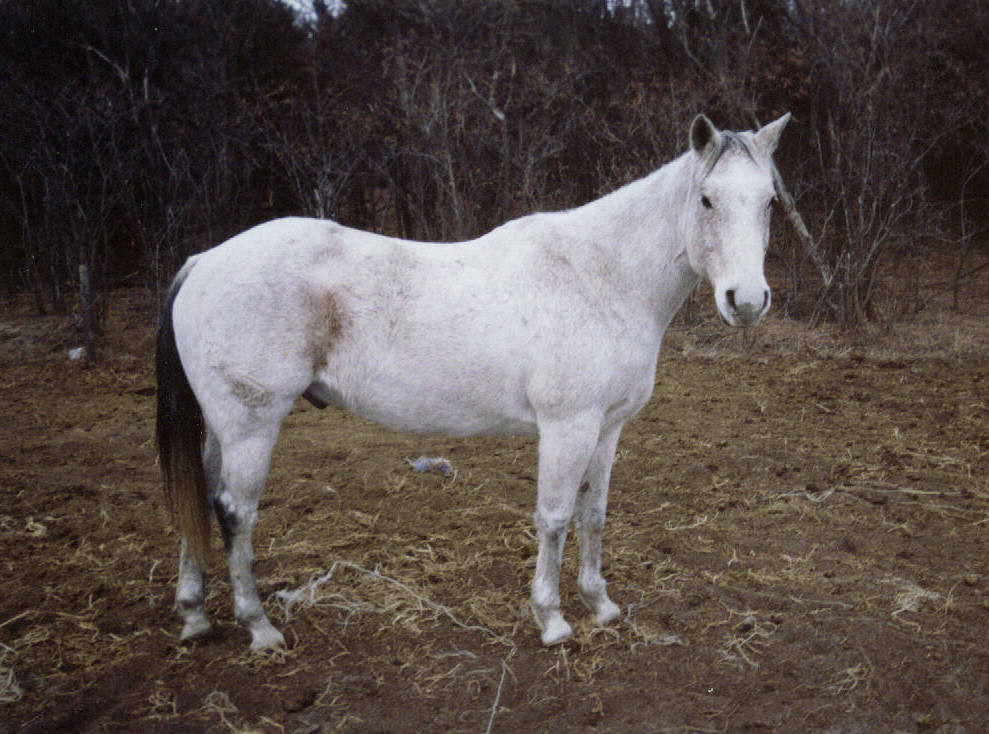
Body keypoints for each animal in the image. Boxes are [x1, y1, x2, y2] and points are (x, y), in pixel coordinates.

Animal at [156, 113, 788, 648]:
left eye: (768, 202)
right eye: (706, 199)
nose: (747, 301)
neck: (601, 276)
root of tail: (204, 261)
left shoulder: (607, 428)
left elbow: (594, 513)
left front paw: (601, 605)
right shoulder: (567, 427)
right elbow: (555, 517)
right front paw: (553, 620)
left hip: (226, 426)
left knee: (200, 496)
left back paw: (196, 616)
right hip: (251, 425)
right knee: (234, 511)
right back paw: (259, 628)